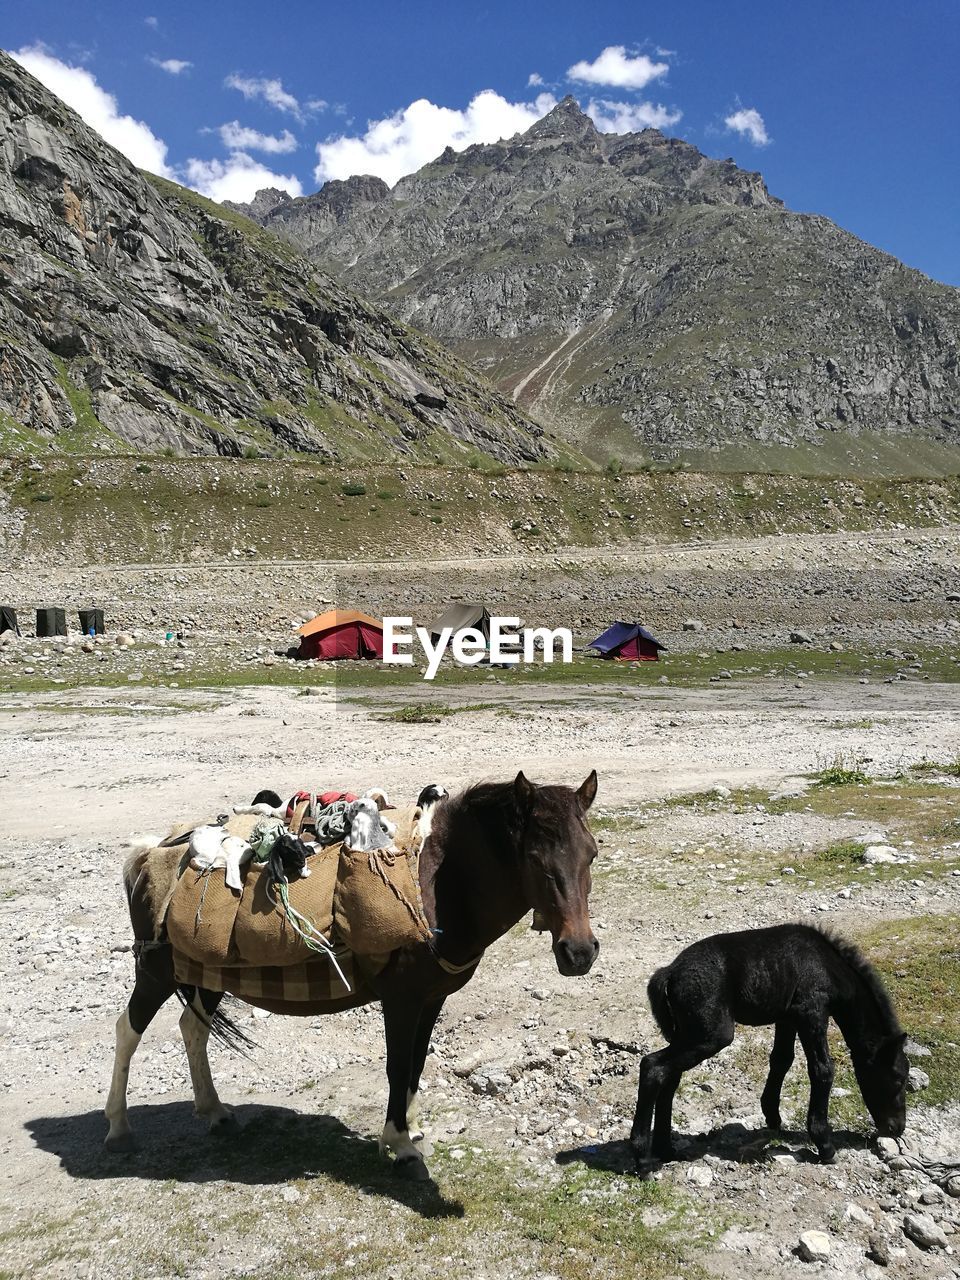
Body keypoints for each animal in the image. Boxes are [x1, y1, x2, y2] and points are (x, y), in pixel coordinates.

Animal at [106, 768, 601, 1177]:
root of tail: (149, 853)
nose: (579, 953)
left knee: (193, 1028)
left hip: (209, 972)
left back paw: (214, 1112)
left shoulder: (431, 998)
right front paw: (400, 1145)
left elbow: (417, 1062)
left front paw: (413, 1128)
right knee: (128, 1031)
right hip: (156, 973)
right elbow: (398, 1065)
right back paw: (118, 1127)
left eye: (592, 854)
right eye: (534, 857)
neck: (437, 888)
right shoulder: (401, 1000)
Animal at [632, 926, 911, 1172]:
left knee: (669, 1077)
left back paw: (666, 1150)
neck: (826, 964)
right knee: (652, 1066)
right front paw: (824, 1144)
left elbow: (781, 1060)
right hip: (711, 1036)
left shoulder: (787, 1018)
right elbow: (822, 1070)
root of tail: (669, 972)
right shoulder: (811, 1012)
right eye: (898, 1079)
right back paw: (643, 1161)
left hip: (687, 1035)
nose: (897, 1128)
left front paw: (773, 1116)